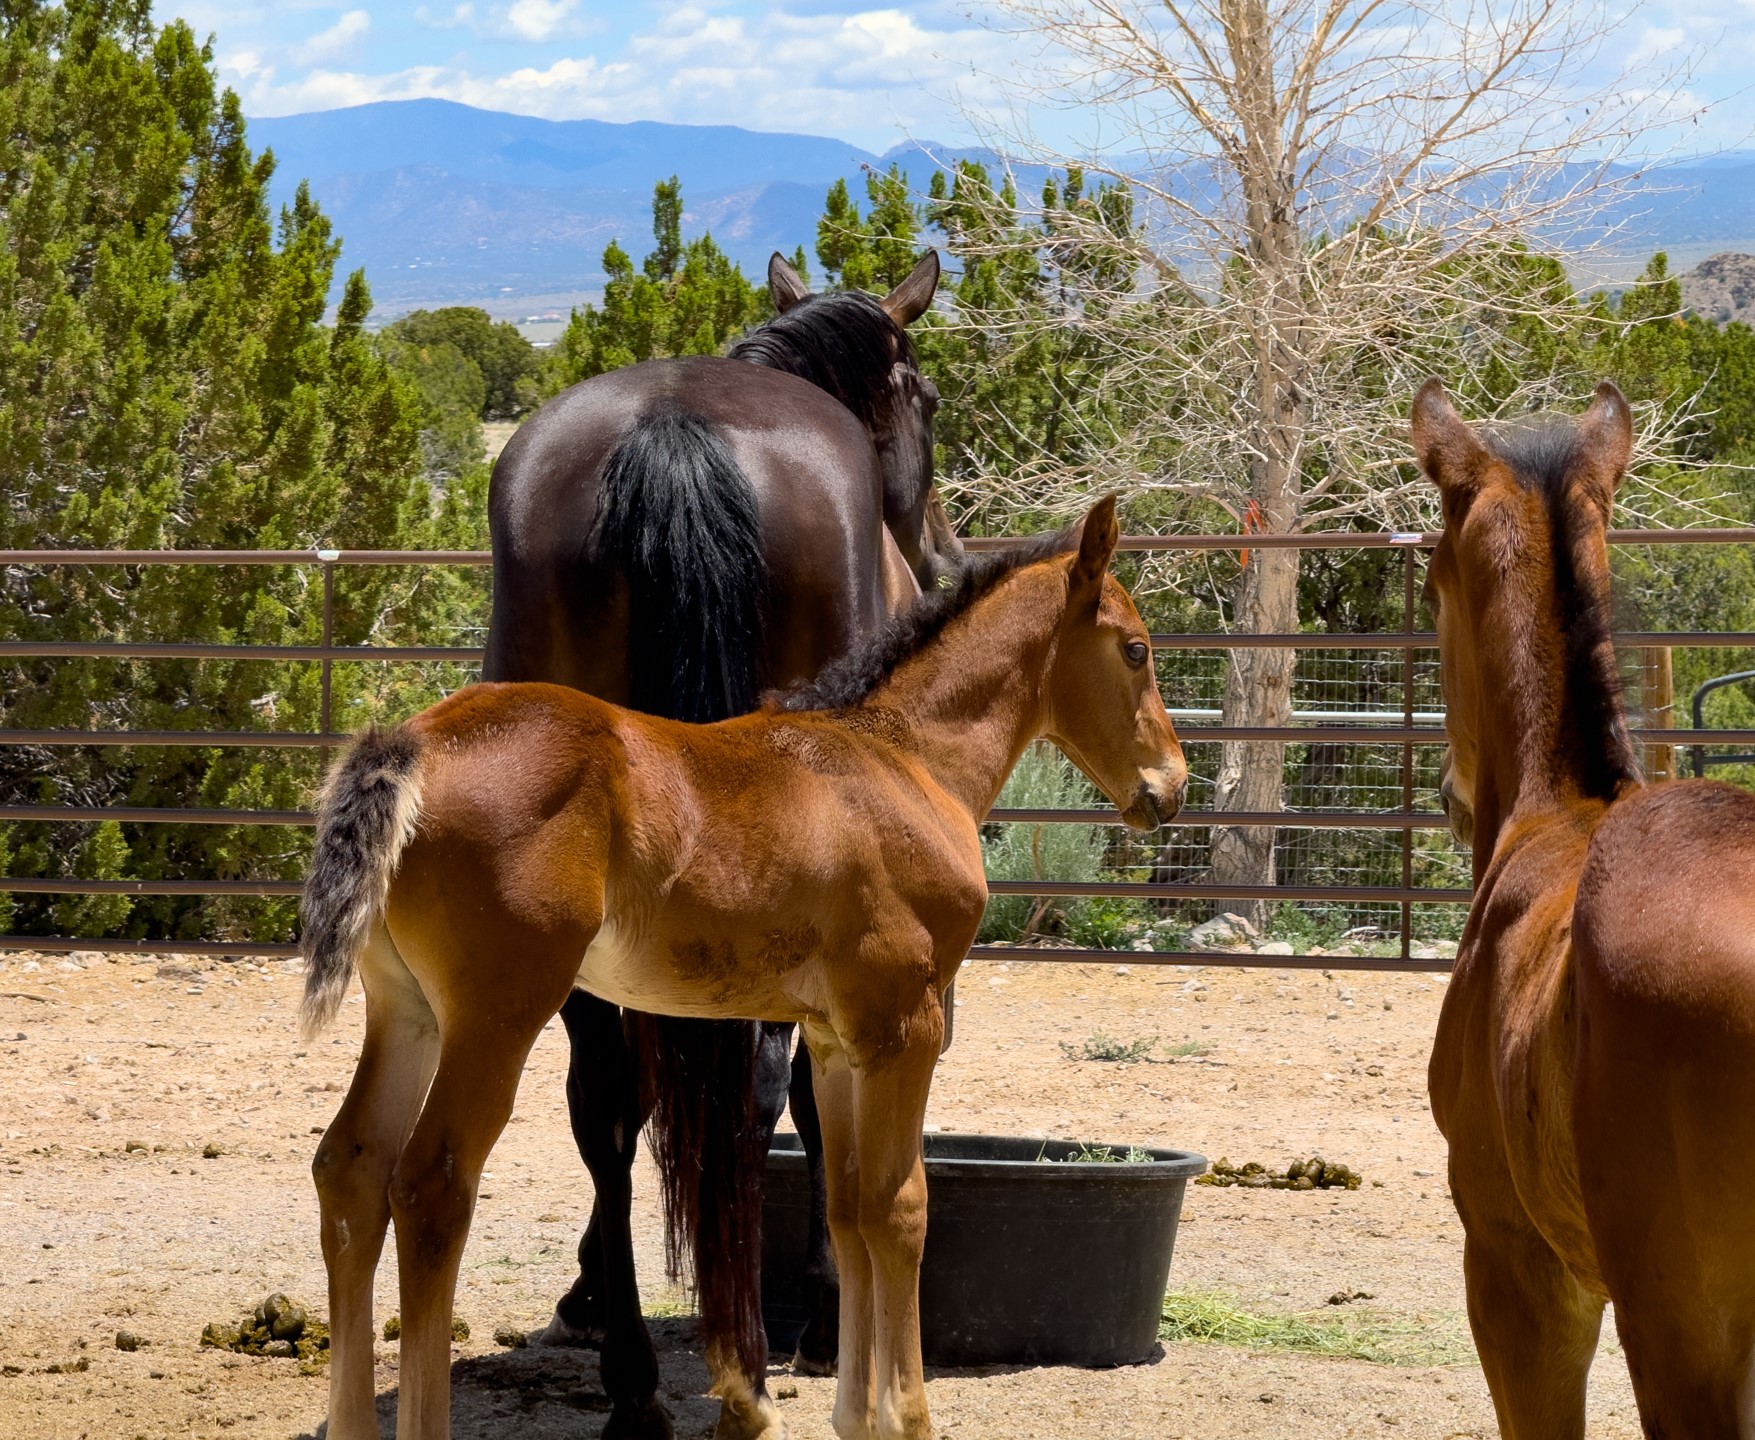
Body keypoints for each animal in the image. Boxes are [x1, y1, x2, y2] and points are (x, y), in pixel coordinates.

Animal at [301, 494, 1186, 1438]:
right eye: (1135, 648)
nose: (1170, 785)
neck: (903, 760)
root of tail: (414, 743)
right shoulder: (907, 1024)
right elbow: (902, 1208)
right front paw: (908, 1416)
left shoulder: (837, 1040)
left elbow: (849, 1207)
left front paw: (854, 1416)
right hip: (498, 1015)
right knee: (431, 1187)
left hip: (409, 1010)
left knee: (350, 1169)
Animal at [477, 250, 961, 1438]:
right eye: (925, 399)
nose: (940, 551)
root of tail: (674, 433)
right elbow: (817, 1105)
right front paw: (824, 1318)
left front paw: (588, 1297)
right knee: (751, 1085)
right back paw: (741, 1359)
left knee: (605, 1101)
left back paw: (635, 1388)